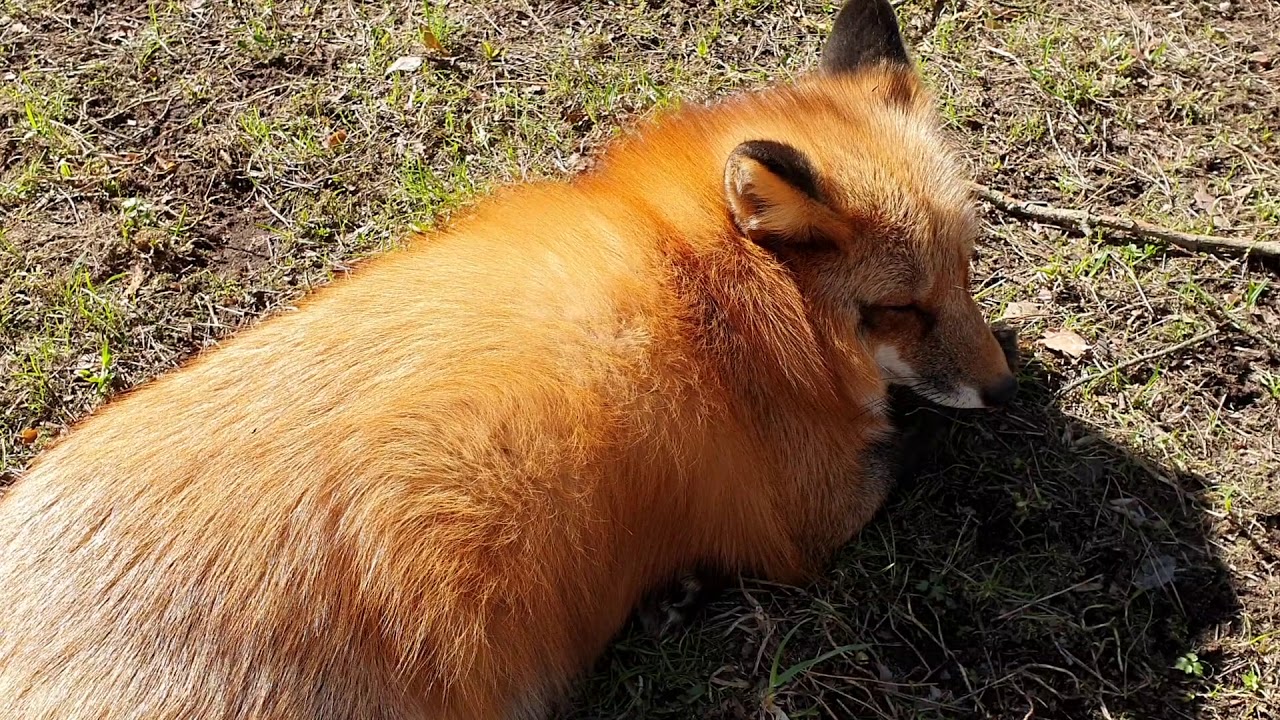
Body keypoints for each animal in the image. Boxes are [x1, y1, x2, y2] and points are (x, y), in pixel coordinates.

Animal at [0, 1, 1016, 718]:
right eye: (900, 310)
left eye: (968, 268)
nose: (1005, 393)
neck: (712, 292)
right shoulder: (808, 509)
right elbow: (910, 441)